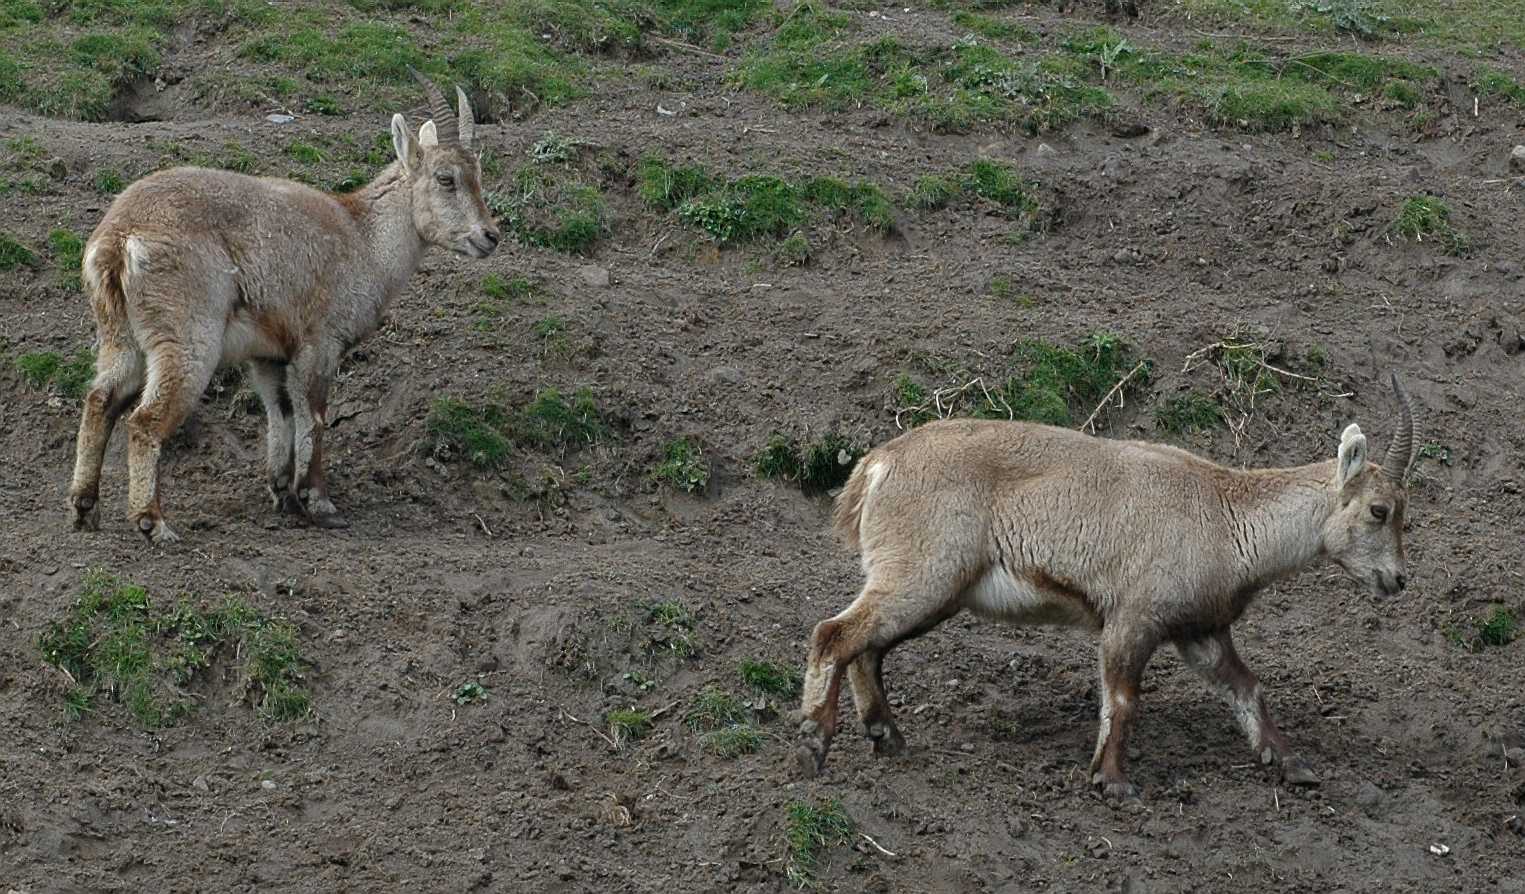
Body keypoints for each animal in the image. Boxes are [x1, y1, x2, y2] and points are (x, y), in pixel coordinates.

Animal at [67, 72, 500, 543]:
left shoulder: (270, 354)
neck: (364, 239)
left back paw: (84, 507)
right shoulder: (320, 343)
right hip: (186, 336)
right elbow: (315, 416)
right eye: (446, 179)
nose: (490, 236)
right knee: (145, 419)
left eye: (479, 175)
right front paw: (319, 502)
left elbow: (282, 415)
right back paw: (152, 520)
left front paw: (284, 495)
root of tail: (118, 238)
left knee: (100, 399)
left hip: (121, 335)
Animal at [797, 375, 1417, 799]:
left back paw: (886, 734)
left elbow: (1247, 687)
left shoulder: (1200, 629)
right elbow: (1121, 698)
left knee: (866, 646)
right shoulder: (1132, 617)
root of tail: (877, 465)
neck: (1228, 518)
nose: (1397, 579)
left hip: (928, 588)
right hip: (922, 573)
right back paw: (814, 743)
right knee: (833, 634)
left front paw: (1292, 763)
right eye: (1380, 510)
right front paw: (1114, 781)